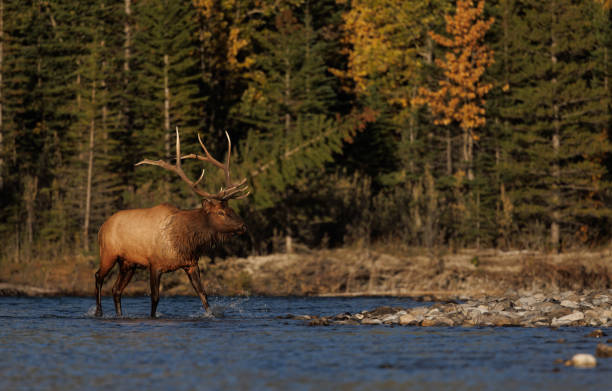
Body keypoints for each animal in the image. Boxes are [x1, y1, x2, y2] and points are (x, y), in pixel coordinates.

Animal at [95, 129, 249, 318]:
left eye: (231, 209)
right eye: (221, 212)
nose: (243, 226)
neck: (184, 240)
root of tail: (102, 227)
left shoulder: (191, 264)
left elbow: (203, 294)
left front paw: (211, 315)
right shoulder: (154, 264)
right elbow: (155, 298)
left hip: (128, 264)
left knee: (116, 290)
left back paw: (119, 315)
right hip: (108, 253)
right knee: (98, 277)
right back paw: (98, 311)